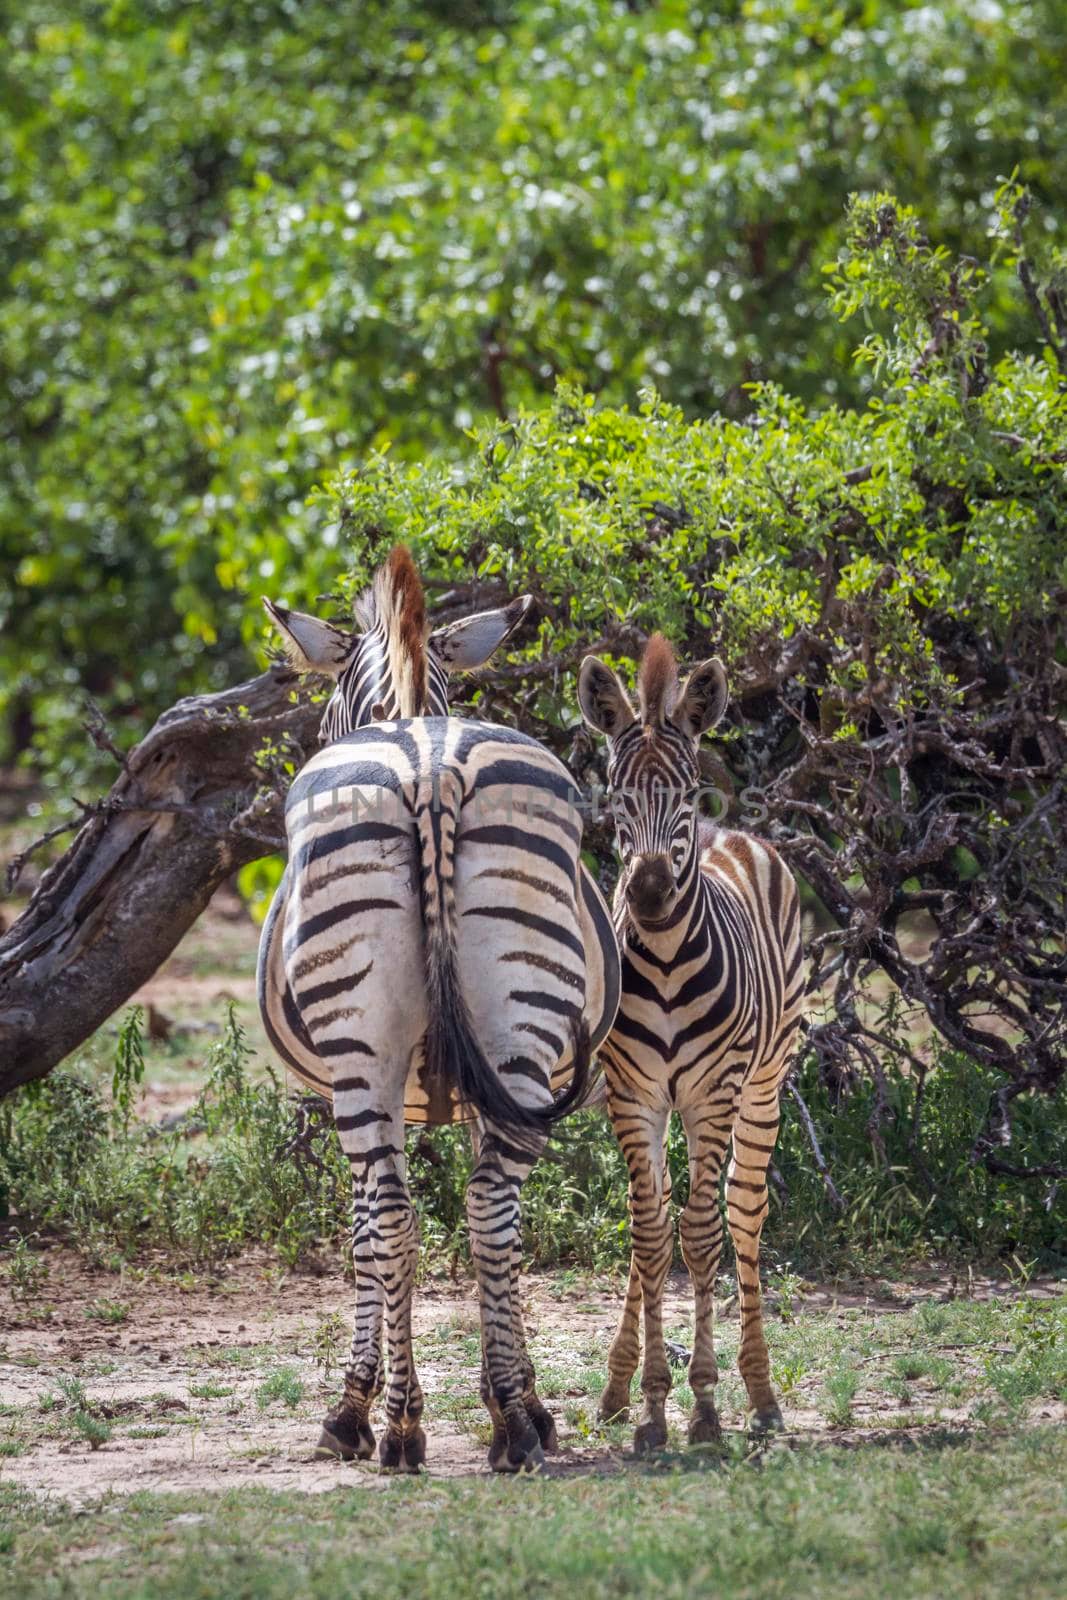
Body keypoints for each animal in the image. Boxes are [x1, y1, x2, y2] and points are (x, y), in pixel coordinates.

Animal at [259, 547, 620, 1472]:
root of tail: (428, 764)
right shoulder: (469, 1085)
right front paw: (520, 1397)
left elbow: (360, 1233)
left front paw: (353, 1407)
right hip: (520, 1026)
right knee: (488, 1207)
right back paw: (509, 1426)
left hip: (364, 1056)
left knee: (393, 1214)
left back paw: (400, 1426)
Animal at [579, 633, 806, 1452]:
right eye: (616, 796)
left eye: (682, 793)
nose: (646, 896)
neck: (670, 961)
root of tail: (730, 832)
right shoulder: (632, 1093)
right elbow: (650, 1237)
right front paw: (649, 1405)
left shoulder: (714, 1094)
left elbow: (702, 1237)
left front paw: (704, 1405)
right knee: (655, 1217)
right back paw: (617, 1387)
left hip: (763, 1085)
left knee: (741, 1212)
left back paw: (761, 1396)